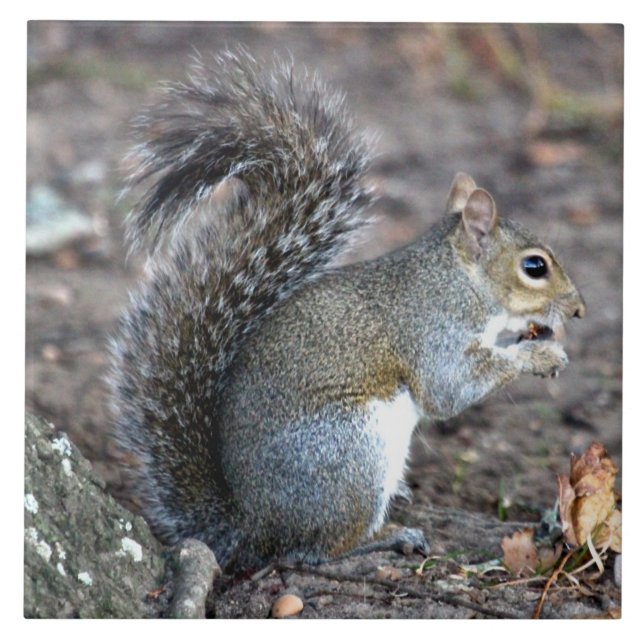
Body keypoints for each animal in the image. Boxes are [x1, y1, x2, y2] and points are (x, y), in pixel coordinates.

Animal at [108, 49, 585, 573]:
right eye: (534, 266)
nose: (578, 309)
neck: (459, 280)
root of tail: (252, 525)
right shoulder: (432, 329)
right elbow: (449, 389)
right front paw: (537, 356)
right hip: (351, 455)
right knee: (314, 548)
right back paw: (388, 536)